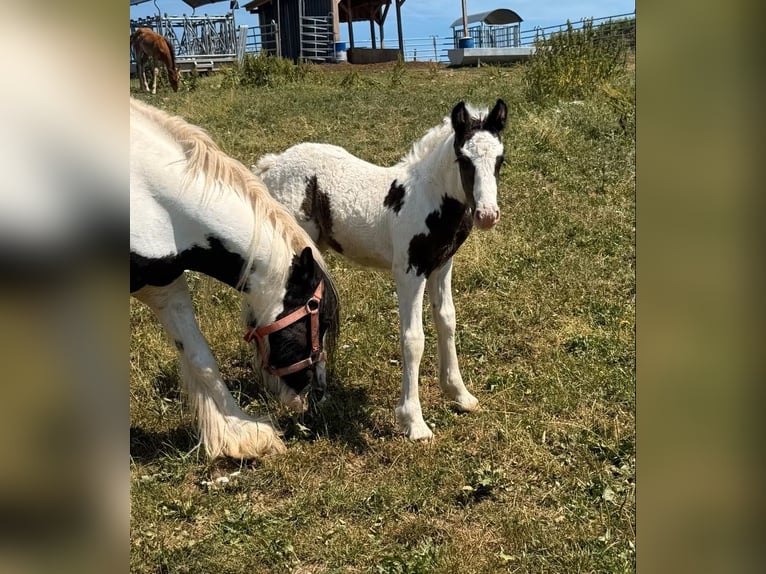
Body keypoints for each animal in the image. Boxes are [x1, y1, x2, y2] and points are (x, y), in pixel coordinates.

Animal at [253, 99, 507, 441]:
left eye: (500, 159)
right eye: (463, 158)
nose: (487, 215)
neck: (428, 200)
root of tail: (273, 163)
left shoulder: (441, 267)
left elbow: (447, 321)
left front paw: (459, 394)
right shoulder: (409, 273)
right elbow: (413, 339)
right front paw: (414, 422)